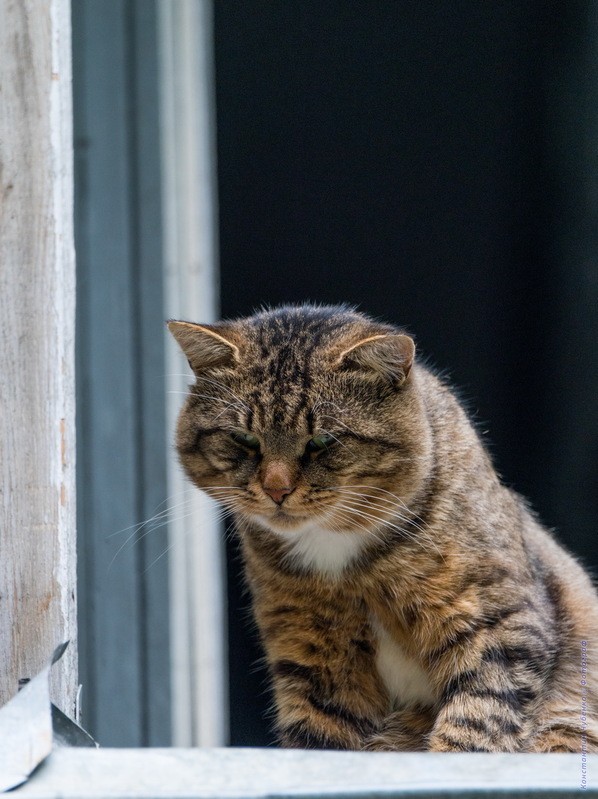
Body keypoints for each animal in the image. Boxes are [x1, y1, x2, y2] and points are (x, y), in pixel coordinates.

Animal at [168, 304, 598, 752]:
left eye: (323, 441)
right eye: (243, 438)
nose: (276, 489)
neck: (335, 544)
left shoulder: (500, 623)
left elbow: (479, 719)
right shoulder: (311, 648)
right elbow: (320, 734)